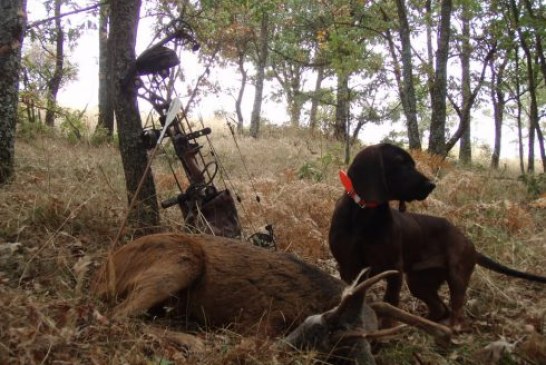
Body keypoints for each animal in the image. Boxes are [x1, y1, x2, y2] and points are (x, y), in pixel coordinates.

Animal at [93, 232, 450, 362]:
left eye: (371, 344)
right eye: (338, 344)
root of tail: (106, 268)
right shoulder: (260, 322)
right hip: (180, 260)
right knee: (115, 317)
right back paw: (195, 342)